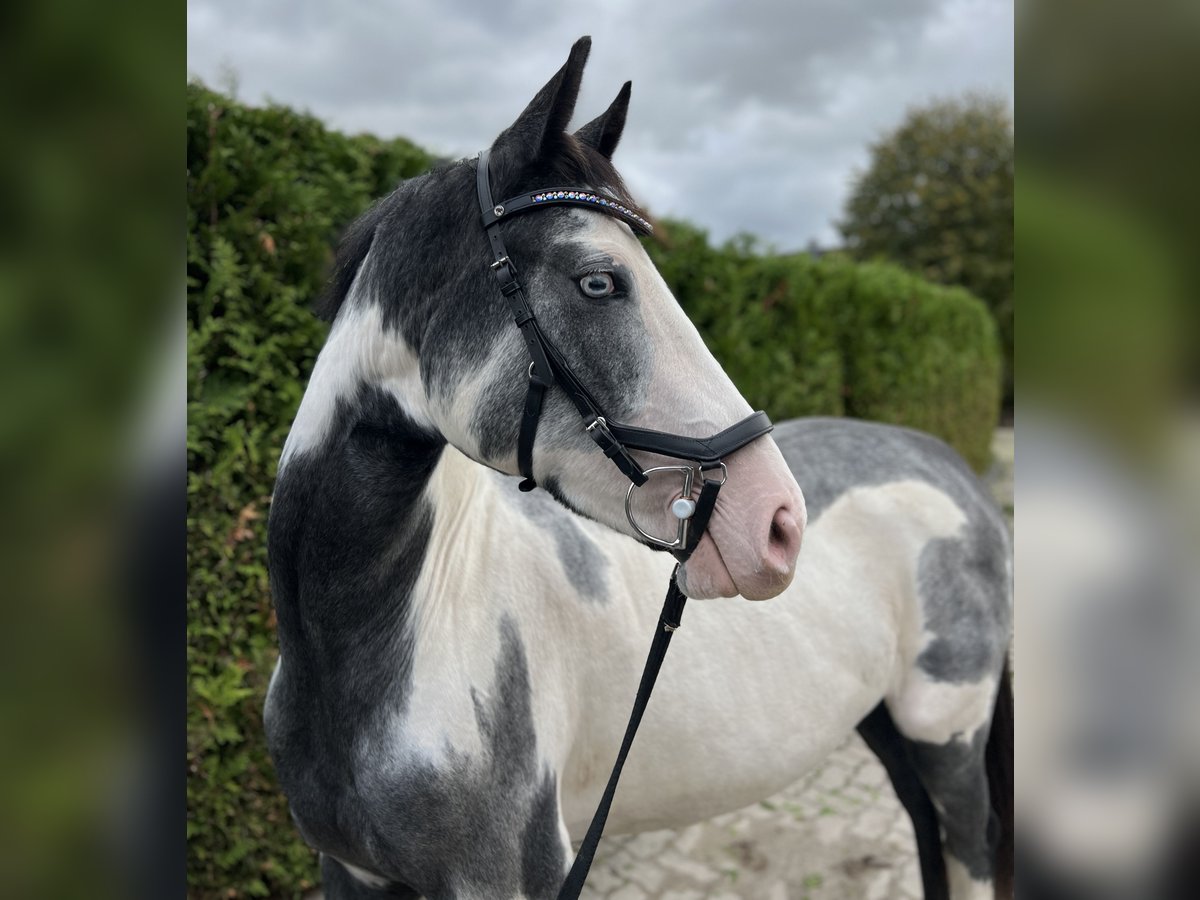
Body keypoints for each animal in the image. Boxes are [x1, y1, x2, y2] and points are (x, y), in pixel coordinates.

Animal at [262, 37, 1012, 900]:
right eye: (598, 281)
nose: (777, 521)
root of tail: (950, 467)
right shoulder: (348, 871)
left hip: (947, 734)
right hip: (887, 727)